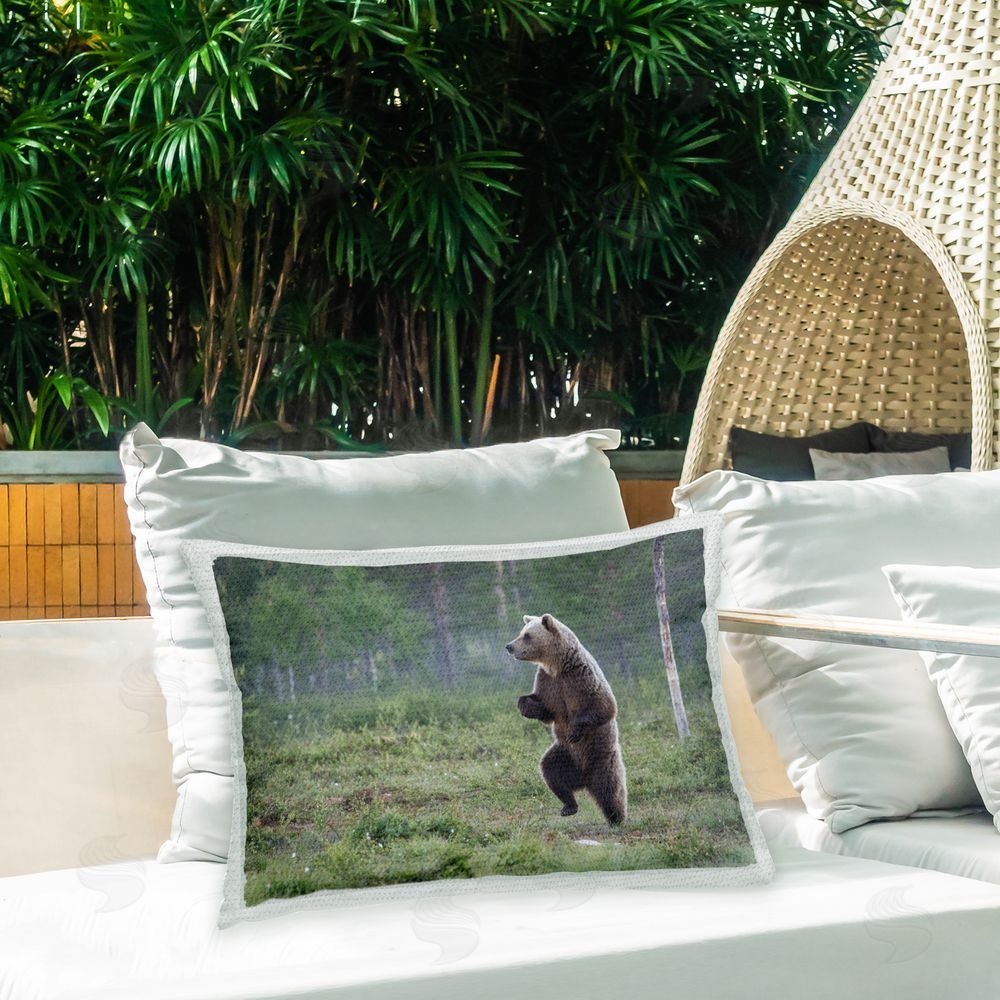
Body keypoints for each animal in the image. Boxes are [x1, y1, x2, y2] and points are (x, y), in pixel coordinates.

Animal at [506, 613, 627, 825]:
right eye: (521, 633)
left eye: (527, 636)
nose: (509, 646)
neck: (558, 665)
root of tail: (584, 779)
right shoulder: (548, 683)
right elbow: (546, 710)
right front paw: (525, 704)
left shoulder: (581, 677)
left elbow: (605, 706)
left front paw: (575, 730)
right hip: (565, 755)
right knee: (551, 771)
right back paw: (569, 806)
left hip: (601, 757)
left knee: (610, 789)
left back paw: (616, 818)